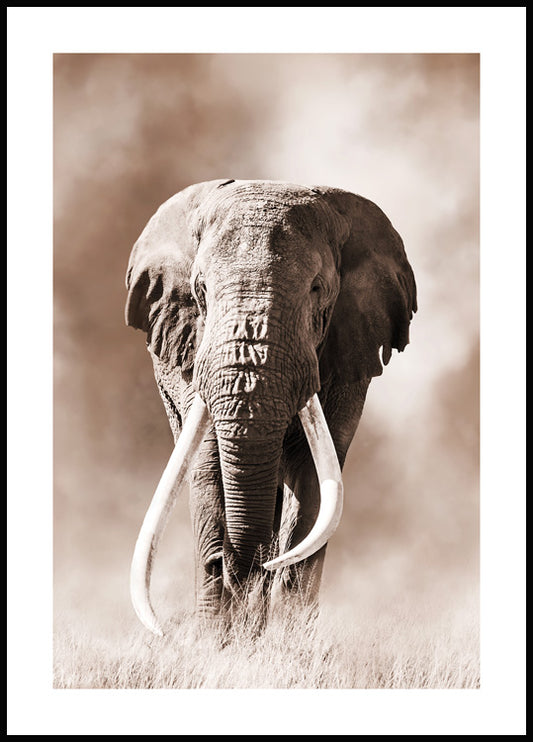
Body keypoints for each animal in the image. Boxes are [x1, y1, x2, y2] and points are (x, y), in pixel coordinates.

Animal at [125, 178, 417, 637]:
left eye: (317, 290)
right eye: (201, 290)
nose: (237, 567)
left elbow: (315, 478)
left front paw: (286, 637)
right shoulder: (192, 350)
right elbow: (208, 464)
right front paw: (216, 638)